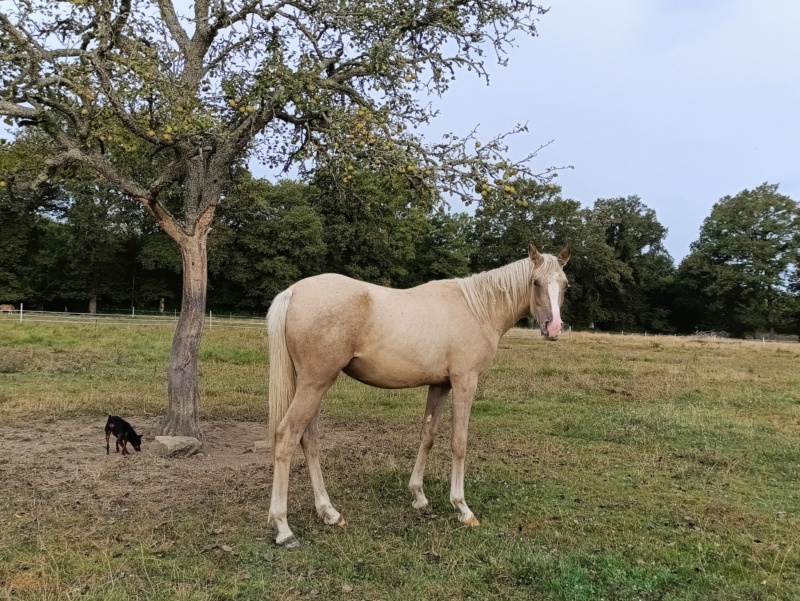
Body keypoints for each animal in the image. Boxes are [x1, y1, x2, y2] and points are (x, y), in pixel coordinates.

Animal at [268, 241, 568, 548]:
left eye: (565, 284)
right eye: (536, 282)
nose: (554, 328)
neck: (478, 309)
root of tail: (293, 292)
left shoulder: (440, 385)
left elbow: (428, 436)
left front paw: (419, 496)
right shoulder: (465, 381)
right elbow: (459, 442)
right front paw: (462, 508)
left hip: (315, 385)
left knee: (309, 440)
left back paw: (329, 512)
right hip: (314, 384)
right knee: (287, 436)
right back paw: (284, 529)